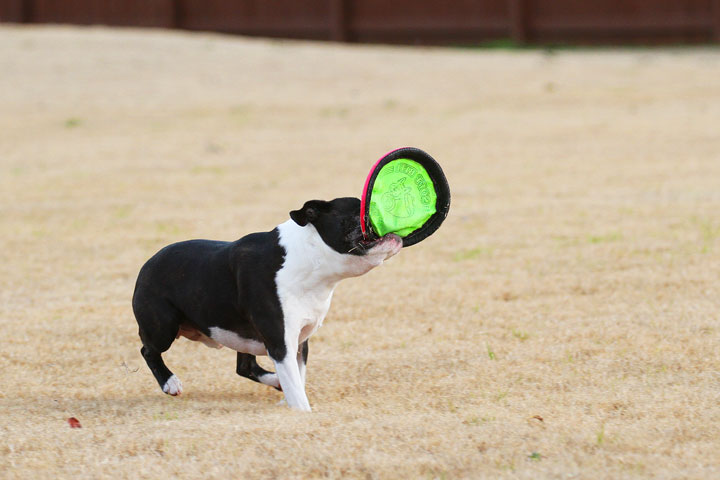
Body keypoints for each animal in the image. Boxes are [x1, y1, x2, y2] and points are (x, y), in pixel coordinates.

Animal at [131, 197, 400, 410]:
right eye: (362, 208)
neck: (309, 259)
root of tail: (146, 264)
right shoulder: (281, 343)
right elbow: (296, 387)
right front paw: (302, 410)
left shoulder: (299, 342)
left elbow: (297, 377)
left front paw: (289, 398)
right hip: (163, 326)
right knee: (148, 350)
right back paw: (170, 383)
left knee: (245, 366)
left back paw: (276, 382)